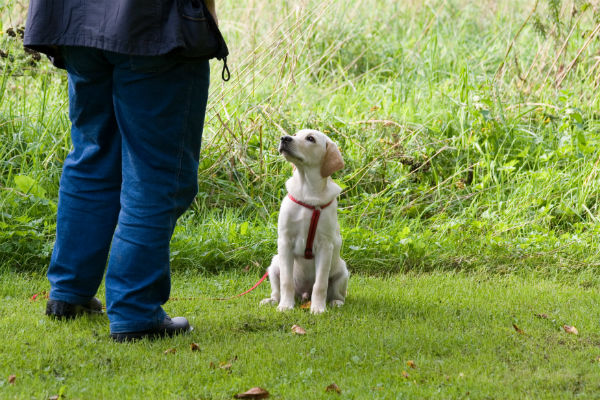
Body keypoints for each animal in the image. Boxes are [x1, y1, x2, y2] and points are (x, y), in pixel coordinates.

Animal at [260, 130, 350, 314]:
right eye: (295, 134)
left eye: (310, 139)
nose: (284, 138)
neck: (307, 190)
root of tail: (304, 294)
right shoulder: (285, 242)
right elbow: (286, 282)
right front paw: (285, 306)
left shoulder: (325, 246)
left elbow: (320, 284)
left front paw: (318, 308)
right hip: (274, 265)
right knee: (277, 290)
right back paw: (272, 300)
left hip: (342, 272)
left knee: (337, 293)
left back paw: (335, 302)